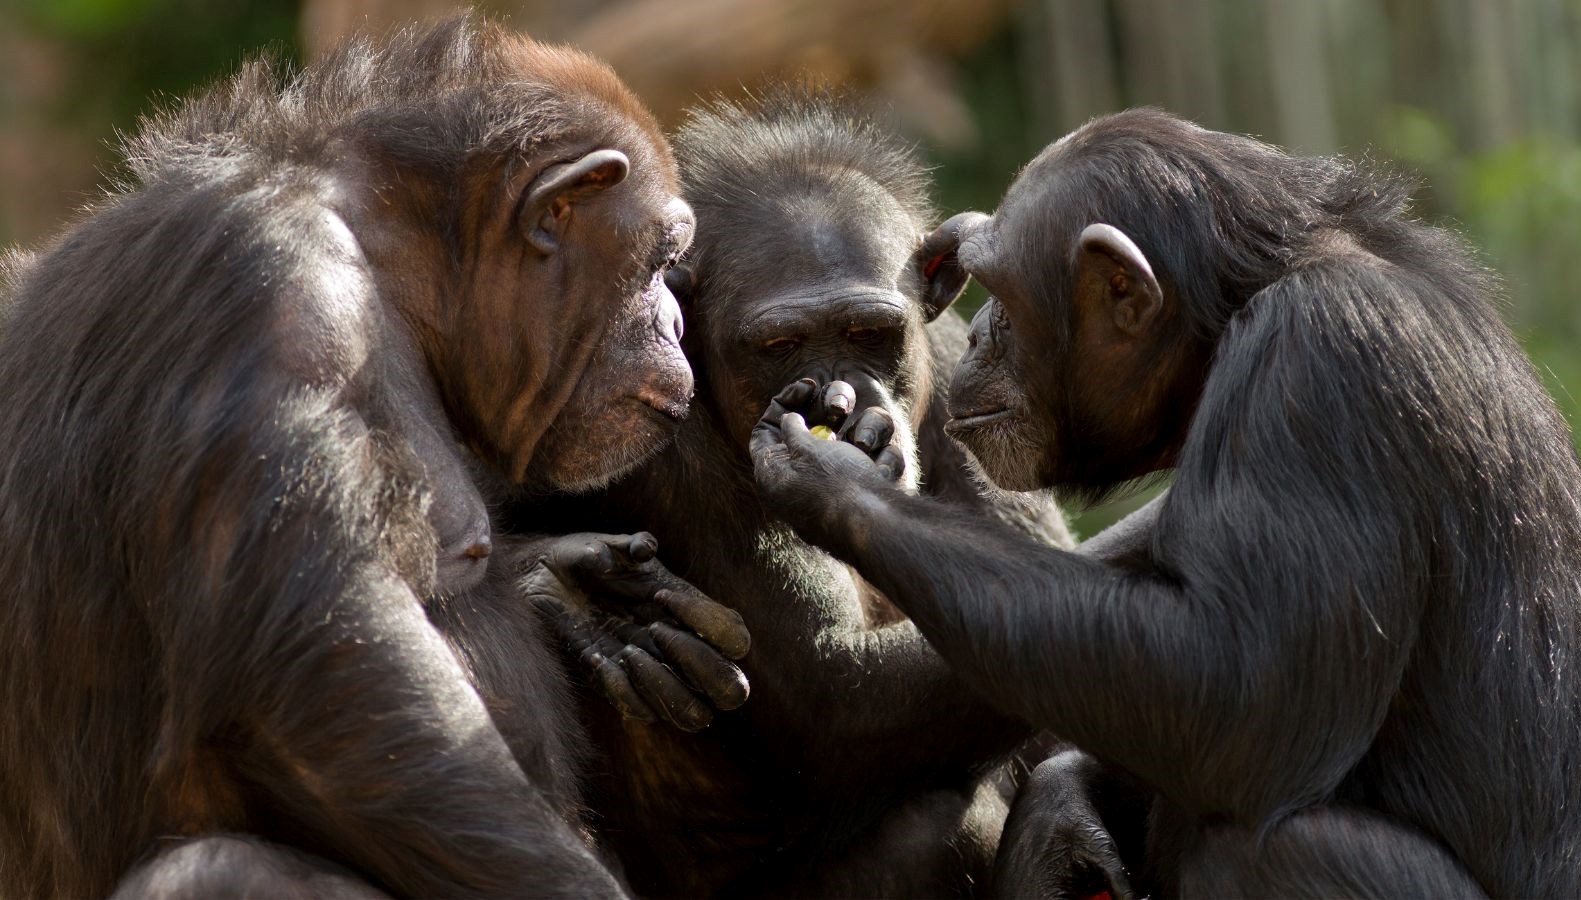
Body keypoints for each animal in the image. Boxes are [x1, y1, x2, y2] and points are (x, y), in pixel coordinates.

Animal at [0, 21, 749, 898]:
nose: (674, 319)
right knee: (219, 866)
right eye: (661, 260)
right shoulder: (276, 299)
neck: (389, 260)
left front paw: (579, 597)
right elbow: (335, 690)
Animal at [512, 85, 1081, 898]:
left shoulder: (969, 372)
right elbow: (832, 689)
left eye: (869, 332)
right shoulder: (653, 444)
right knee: (933, 825)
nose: (838, 399)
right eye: (779, 345)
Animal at [749, 106, 1581, 898]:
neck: (1238, 310)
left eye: (1002, 295)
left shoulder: (1319, 366)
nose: (977, 332)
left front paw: (833, 477)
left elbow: (1237, 689)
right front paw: (1062, 819)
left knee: (1255, 848)